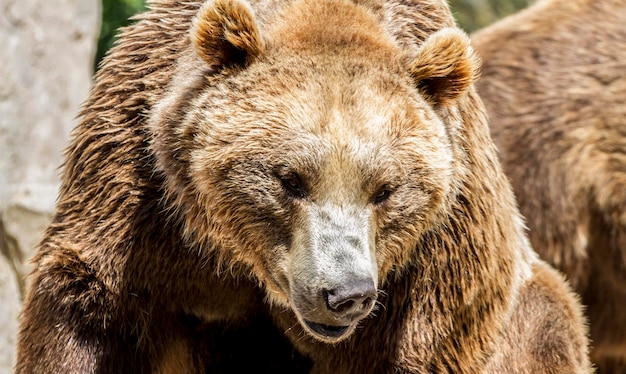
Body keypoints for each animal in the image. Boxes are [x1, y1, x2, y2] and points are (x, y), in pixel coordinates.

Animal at [15, 0, 588, 372]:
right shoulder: (138, 201)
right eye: (289, 180)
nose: (346, 294)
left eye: (385, 189)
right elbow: (89, 310)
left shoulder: (437, 261)